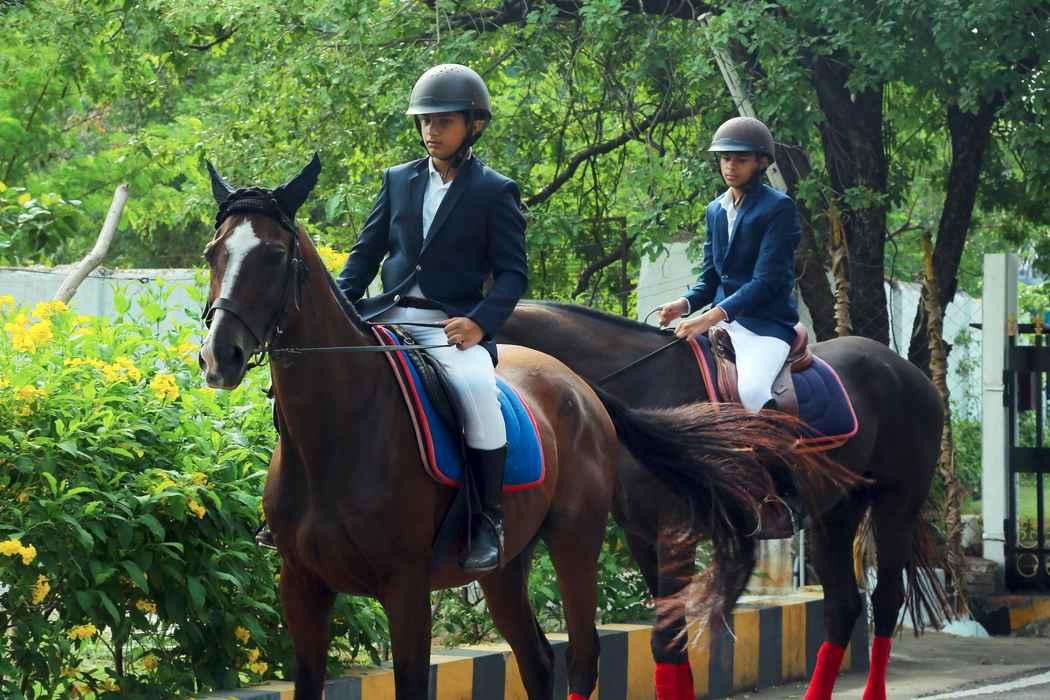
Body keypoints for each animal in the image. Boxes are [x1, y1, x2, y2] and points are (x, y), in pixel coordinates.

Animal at [196, 157, 842, 700]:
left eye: (274, 256)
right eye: (213, 252)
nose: (219, 356)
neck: (336, 433)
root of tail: (579, 386)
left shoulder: (406, 588)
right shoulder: (300, 586)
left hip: (576, 541)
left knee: (581, 655)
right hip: (507, 568)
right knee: (535, 659)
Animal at [499, 301, 954, 700]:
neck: (643, 386)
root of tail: (910, 372)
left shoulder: (676, 535)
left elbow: (665, 642)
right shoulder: (642, 538)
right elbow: (674, 643)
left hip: (896, 505)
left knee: (886, 599)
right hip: (836, 515)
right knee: (842, 607)